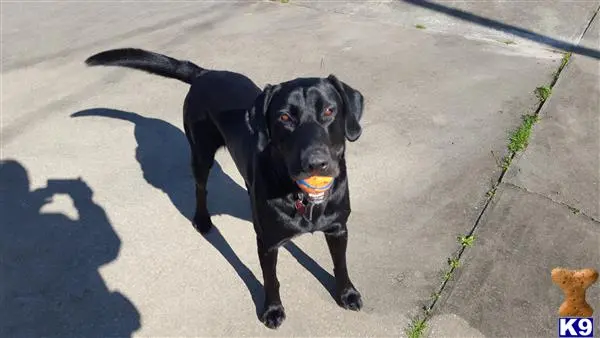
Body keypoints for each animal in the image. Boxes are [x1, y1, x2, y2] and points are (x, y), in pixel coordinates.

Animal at [85, 48, 366, 328]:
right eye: (285, 117)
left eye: (329, 110)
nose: (315, 163)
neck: (302, 197)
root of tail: (205, 73)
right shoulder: (267, 242)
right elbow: (271, 279)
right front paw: (272, 309)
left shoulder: (338, 228)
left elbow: (340, 264)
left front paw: (347, 293)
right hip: (201, 152)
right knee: (200, 188)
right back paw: (202, 219)